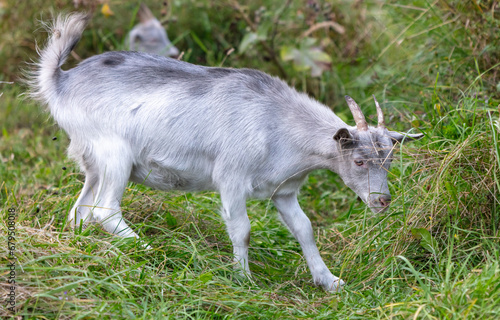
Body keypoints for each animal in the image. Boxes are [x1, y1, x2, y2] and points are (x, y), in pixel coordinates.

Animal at [27, 13, 424, 292]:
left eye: (390, 159)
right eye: (359, 160)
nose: (382, 201)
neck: (277, 121)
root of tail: (60, 81)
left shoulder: (284, 190)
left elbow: (305, 229)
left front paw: (330, 281)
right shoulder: (231, 178)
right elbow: (242, 230)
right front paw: (244, 280)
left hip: (93, 163)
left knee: (80, 211)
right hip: (115, 156)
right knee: (105, 209)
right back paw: (154, 254)